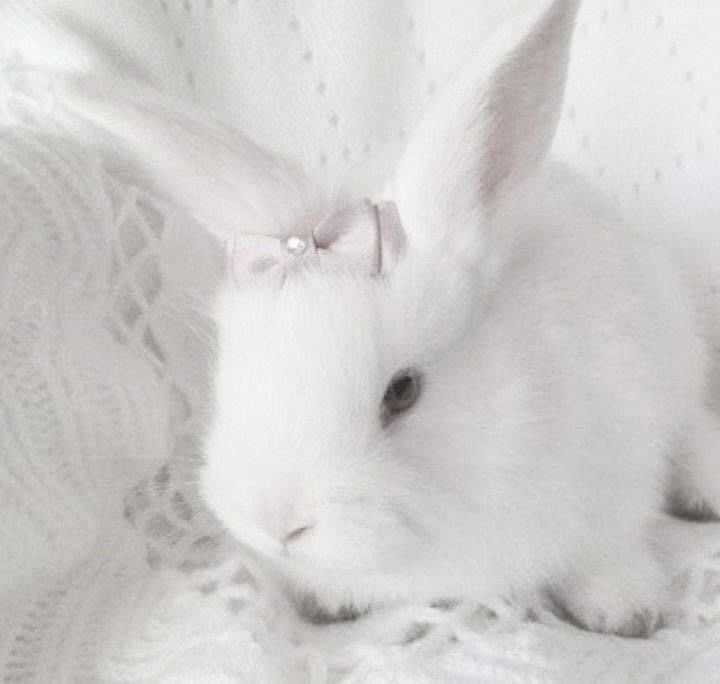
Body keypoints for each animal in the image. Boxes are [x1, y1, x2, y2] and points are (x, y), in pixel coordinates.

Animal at [59, 0, 720, 637]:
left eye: (403, 392)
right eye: (227, 378)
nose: (277, 524)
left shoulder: (614, 475)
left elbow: (607, 553)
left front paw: (626, 610)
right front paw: (328, 602)